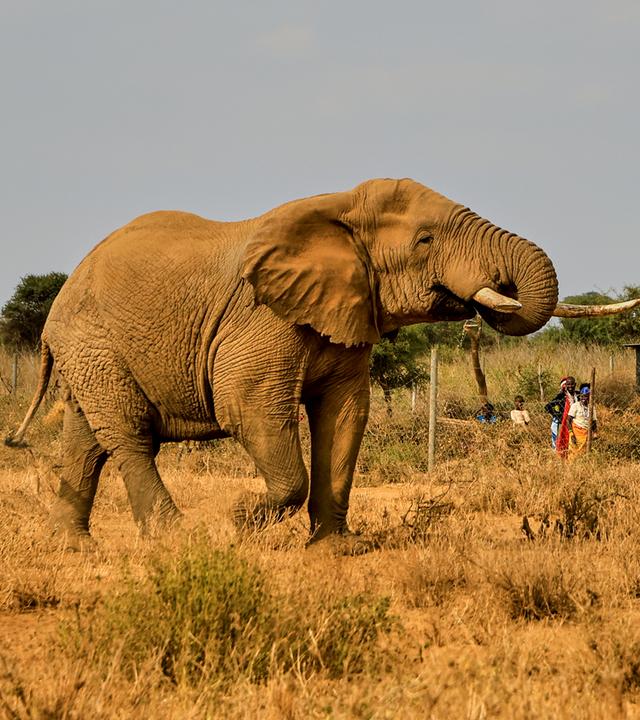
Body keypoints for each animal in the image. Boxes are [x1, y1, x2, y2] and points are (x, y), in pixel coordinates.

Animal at [7, 178, 637, 551]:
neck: (339, 207)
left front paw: (337, 549)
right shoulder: (263, 317)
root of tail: (60, 297)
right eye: (426, 240)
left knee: (88, 439)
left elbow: (345, 415)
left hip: (92, 351)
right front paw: (237, 521)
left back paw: (73, 546)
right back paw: (177, 538)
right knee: (130, 437)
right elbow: (251, 409)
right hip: (93, 342)